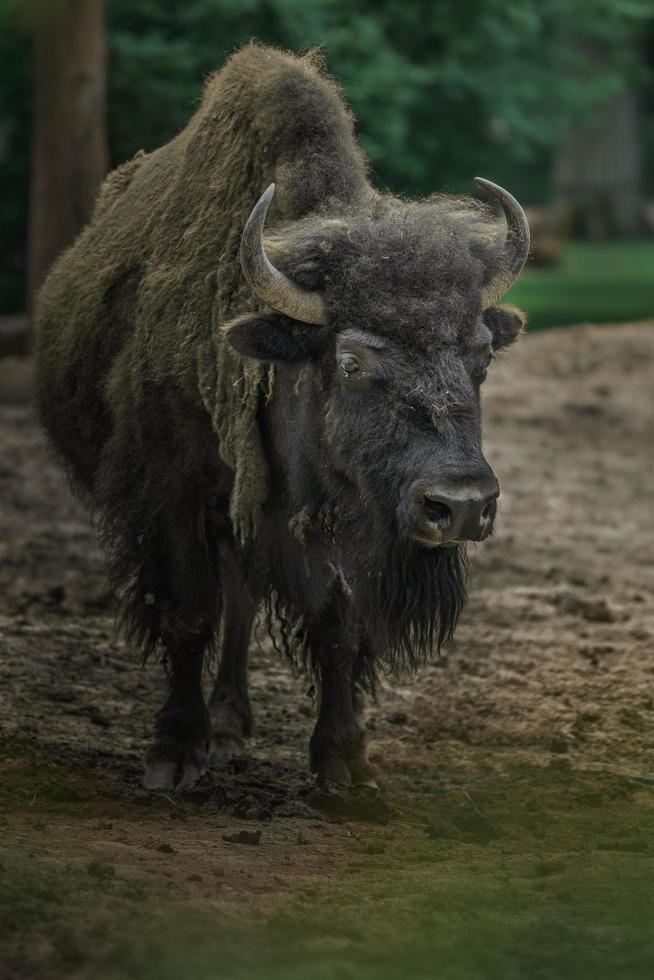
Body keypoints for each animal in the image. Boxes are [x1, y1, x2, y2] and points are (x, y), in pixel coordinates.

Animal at [33, 47, 532, 796]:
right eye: (351, 359)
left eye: (481, 354)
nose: (463, 506)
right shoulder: (171, 496)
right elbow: (188, 613)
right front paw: (173, 753)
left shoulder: (343, 520)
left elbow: (338, 629)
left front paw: (345, 764)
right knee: (224, 600)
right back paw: (217, 729)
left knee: (242, 597)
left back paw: (232, 721)